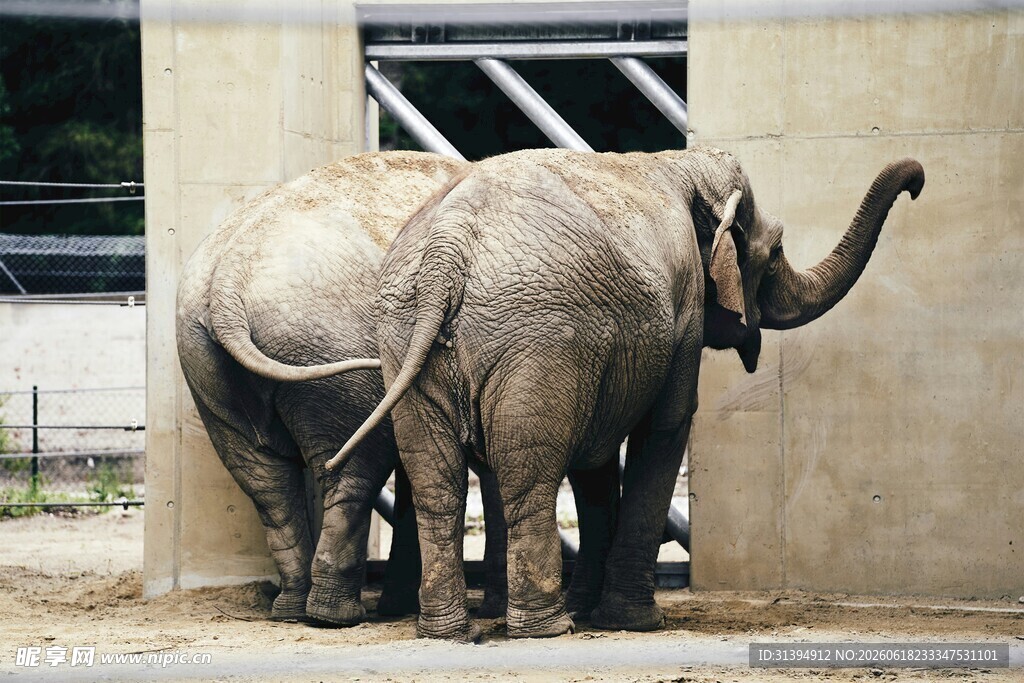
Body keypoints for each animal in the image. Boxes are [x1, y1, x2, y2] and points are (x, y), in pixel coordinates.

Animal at [175, 151, 512, 625]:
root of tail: (227, 282)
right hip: (328, 350)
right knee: (353, 467)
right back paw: (336, 615)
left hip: (206, 365)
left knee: (264, 480)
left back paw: (293, 609)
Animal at [321, 145, 924, 641]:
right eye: (774, 253)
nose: (917, 182)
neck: (681, 164)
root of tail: (447, 254)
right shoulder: (682, 313)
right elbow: (667, 426)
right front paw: (633, 622)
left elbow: (595, 461)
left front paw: (592, 610)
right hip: (538, 341)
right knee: (526, 478)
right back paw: (546, 629)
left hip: (407, 338)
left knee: (437, 483)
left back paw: (450, 632)